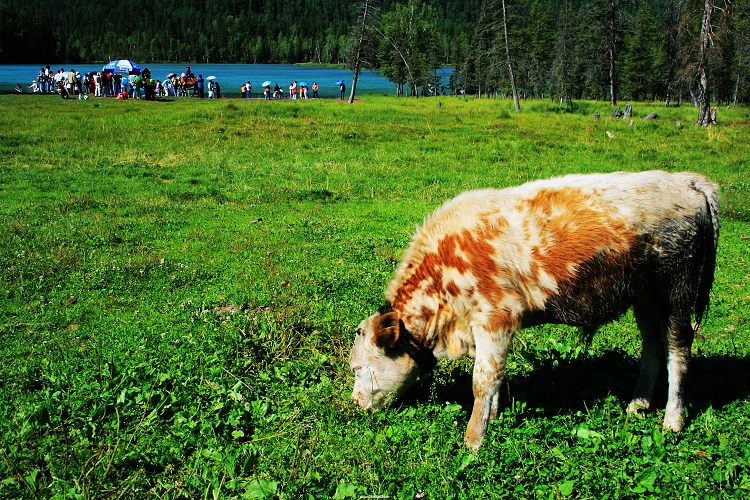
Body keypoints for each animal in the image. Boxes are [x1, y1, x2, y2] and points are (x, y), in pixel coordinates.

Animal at [352, 171, 724, 450]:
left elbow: (482, 380)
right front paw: (493, 417)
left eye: (358, 367)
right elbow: (496, 375)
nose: (355, 404)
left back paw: (673, 419)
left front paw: (473, 441)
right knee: (653, 347)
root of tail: (688, 180)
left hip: (677, 290)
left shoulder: (495, 318)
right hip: (644, 297)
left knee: (678, 351)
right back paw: (638, 404)